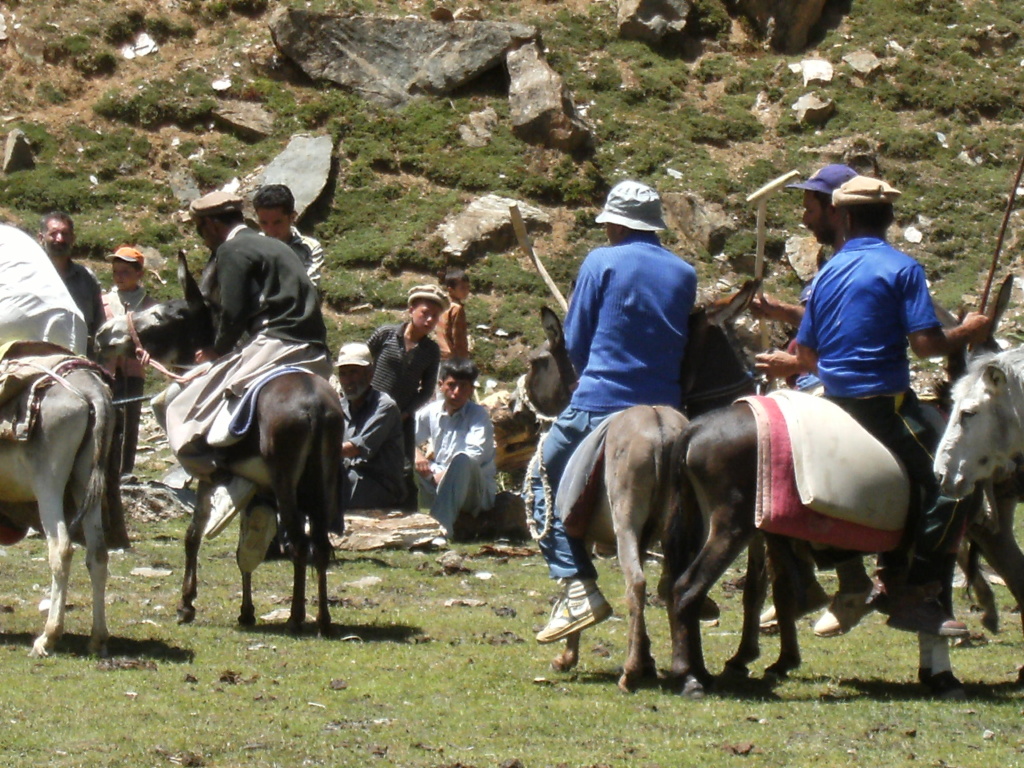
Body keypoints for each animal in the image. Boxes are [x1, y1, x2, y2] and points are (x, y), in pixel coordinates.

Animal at [0, 364, 115, 659]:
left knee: (61, 549)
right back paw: (97, 639)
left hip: (48, 485)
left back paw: (48, 638)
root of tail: (89, 390)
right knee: (98, 553)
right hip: (85, 483)